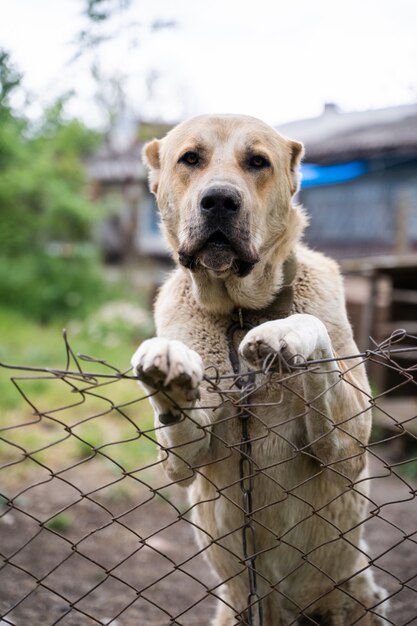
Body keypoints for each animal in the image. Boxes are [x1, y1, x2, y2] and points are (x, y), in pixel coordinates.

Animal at [131, 114, 386, 620]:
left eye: (257, 162)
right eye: (191, 158)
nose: (219, 201)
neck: (239, 310)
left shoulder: (349, 441)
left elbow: (311, 329)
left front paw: (286, 336)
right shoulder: (181, 460)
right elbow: (181, 425)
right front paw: (168, 369)